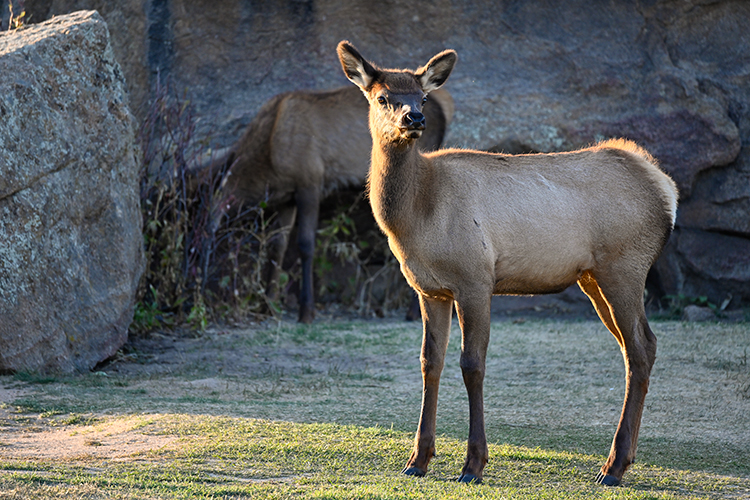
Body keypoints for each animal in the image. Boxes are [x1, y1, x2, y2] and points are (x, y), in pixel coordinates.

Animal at [207, 84, 452, 322]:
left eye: (212, 237)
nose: (203, 274)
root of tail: (441, 113)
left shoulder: (310, 183)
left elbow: (306, 245)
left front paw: (306, 310)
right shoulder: (287, 198)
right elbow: (277, 246)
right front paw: (268, 304)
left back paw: (414, 311)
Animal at [338, 41, 680, 486]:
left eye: (423, 96)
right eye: (382, 97)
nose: (414, 118)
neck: (416, 218)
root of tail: (666, 188)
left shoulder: (475, 278)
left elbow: (472, 365)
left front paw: (473, 465)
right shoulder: (429, 289)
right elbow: (430, 362)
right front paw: (417, 460)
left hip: (625, 266)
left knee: (639, 349)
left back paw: (613, 466)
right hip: (594, 278)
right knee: (640, 346)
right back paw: (623, 460)